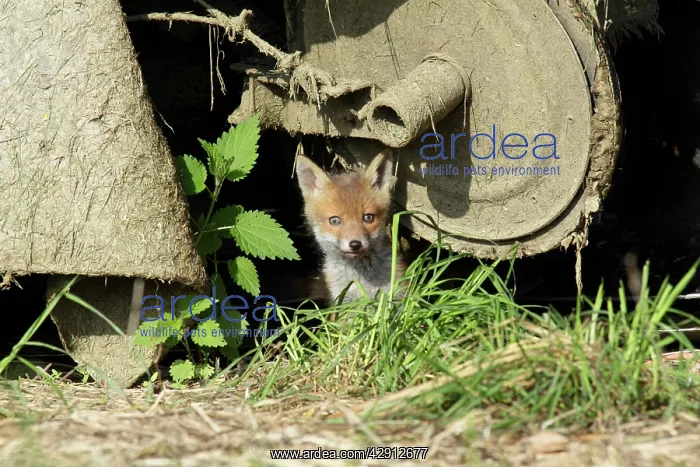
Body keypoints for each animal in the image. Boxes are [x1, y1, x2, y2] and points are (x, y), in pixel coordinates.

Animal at [295, 149, 406, 305]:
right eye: (335, 220)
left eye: (368, 217)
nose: (355, 244)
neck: (361, 283)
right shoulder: (342, 301)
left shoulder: (396, 295)